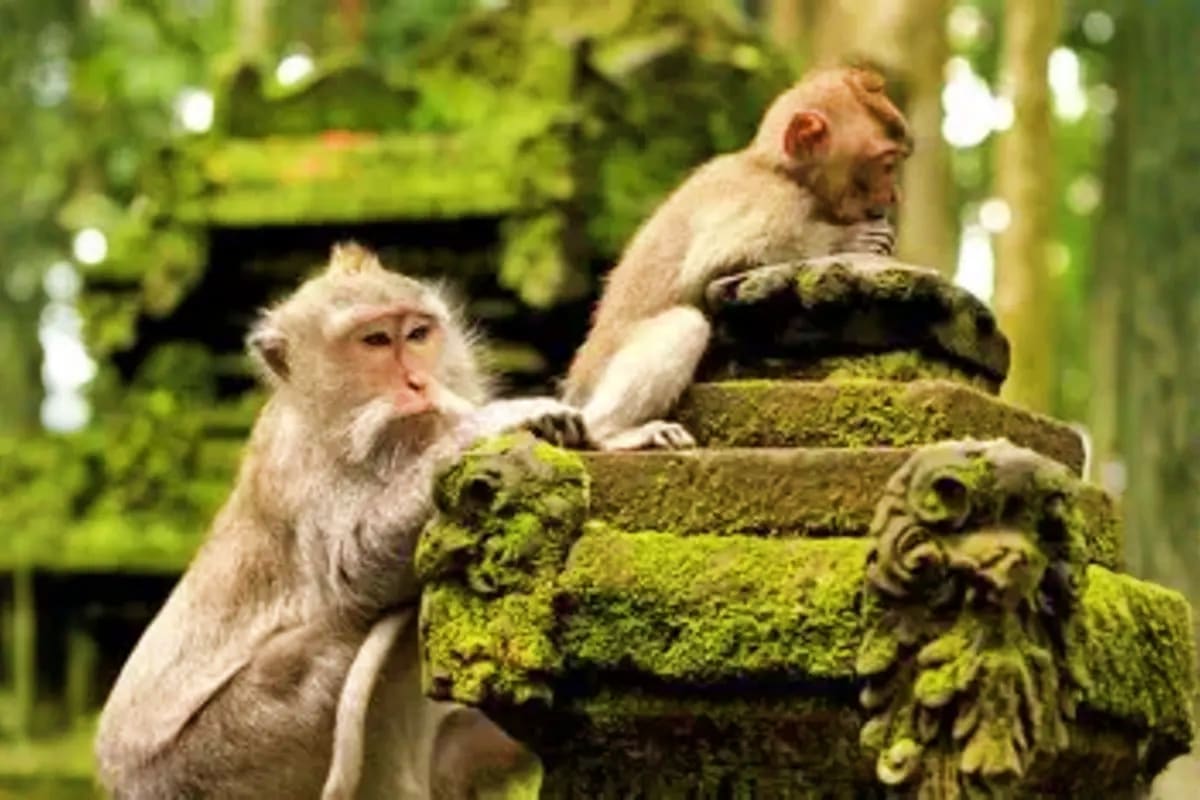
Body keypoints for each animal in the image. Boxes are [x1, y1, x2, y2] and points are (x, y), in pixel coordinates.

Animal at [94, 242, 588, 800]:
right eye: (375, 341)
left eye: (417, 335)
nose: (418, 382)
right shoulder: (301, 466)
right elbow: (355, 571)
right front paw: (494, 421)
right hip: (219, 758)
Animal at [563, 66, 913, 451]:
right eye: (887, 165)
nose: (894, 196)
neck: (775, 168)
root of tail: (578, 388)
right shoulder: (771, 199)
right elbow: (720, 258)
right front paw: (846, 239)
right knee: (686, 324)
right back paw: (608, 432)